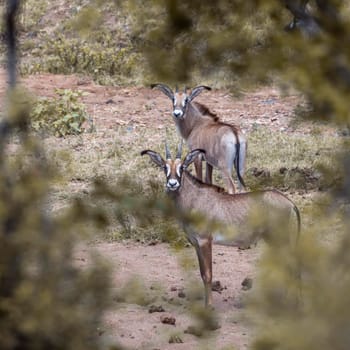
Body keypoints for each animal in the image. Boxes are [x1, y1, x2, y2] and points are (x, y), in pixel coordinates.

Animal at [141, 143, 300, 306]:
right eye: (164, 167)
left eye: (183, 167)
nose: (173, 184)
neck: (195, 199)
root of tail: (290, 203)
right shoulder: (196, 243)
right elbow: (202, 273)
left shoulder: (205, 241)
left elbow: (208, 274)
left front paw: (209, 305)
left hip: (279, 239)